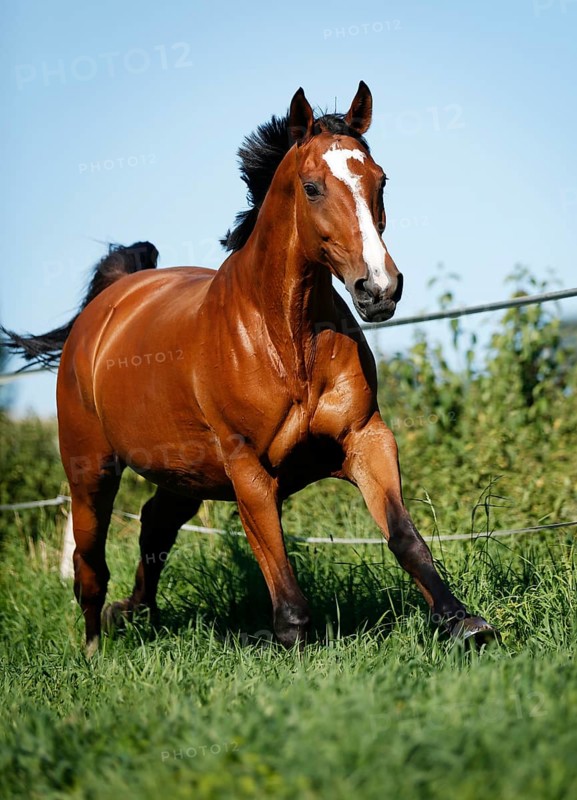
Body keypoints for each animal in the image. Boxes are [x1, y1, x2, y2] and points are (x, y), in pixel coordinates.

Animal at [3, 81, 495, 655]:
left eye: (380, 180)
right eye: (312, 187)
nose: (379, 289)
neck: (287, 341)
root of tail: (107, 306)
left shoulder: (365, 436)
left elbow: (404, 536)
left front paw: (463, 623)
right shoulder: (247, 467)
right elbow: (279, 571)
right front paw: (292, 638)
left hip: (184, 474)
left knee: (154, 526)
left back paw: (133, 613)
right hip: (91, 470)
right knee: (89, 563)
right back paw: (95, 651)